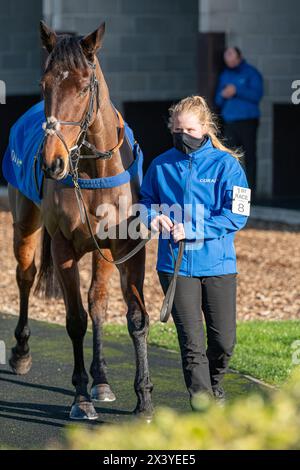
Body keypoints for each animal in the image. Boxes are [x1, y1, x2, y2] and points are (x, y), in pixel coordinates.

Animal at [7, 21, 154, 418]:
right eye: (43, 82)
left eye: (86, 85)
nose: (51, 162)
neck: (92, 169)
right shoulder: (63, 247)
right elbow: (75, 320)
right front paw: (81, 398)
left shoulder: (127, 246)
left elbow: (133, 316)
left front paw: (143, 397)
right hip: (25, 223)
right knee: (25, 275)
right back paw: (21, 352)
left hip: (102, 251)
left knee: (98, 302)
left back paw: (102, 379)